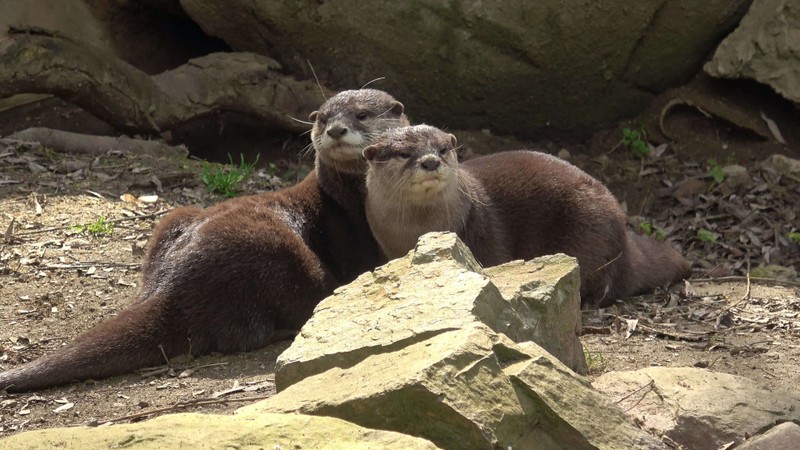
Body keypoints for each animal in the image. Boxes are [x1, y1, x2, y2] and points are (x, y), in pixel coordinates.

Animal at [0, 89, 410, 392]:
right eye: (323, 117)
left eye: (361, 115)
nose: (336, 129)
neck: (349, 199)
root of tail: (170, 285)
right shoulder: (355, 239)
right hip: (276, 251)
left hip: (174, 217)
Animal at [366, 125, 692, 308]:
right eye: (404, 153)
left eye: (444, 149)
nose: (431, 161)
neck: (417, 229)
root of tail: (623, 233)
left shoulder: (482, 233)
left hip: (590, 230)